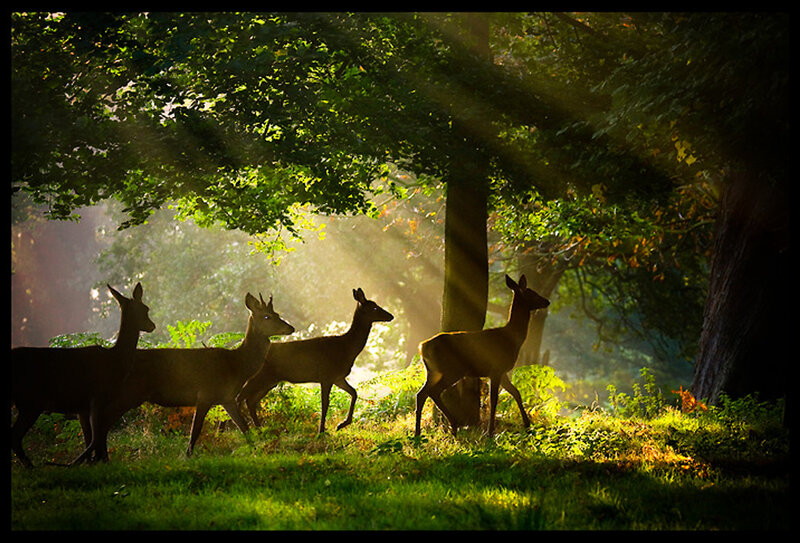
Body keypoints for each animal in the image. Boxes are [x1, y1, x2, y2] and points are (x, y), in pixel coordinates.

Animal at [11, 282, 156, 468]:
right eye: (145, 309)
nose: (152, 326)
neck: (115, 361)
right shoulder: (98, 398)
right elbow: (98, 436)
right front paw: (101, 461)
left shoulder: (83, 407)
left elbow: (90, 437)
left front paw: (91, 463)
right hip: (31, 400)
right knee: (14, 436)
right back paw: (32, 468)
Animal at [71, 292, 294, 464]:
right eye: (267, 316)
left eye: (277, 314)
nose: (290, 328)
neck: (236, 366)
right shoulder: (205, 394)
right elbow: (195, 431)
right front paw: (187, 456)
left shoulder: (227, 398)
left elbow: (244, 428)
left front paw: (257, 450)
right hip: (128, 393)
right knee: (102, 422)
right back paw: (95, 459)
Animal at [237, 288, 394, 434]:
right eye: (374, 307)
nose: (391, 316)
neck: (346, 348)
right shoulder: (326, 375)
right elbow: (325, 403)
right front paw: (322, 431)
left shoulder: (338, 377)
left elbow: (354, 393)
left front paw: (342, 424)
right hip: (257, 377)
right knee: (240, 397)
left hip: (269, 381)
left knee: (250, 401)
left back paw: (258, 429)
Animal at [414, 274, 550, 438]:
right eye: (531, 293)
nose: (547, 301)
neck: (512, 338)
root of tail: (423, 347)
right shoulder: (496, 368)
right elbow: (494, 399)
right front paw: (490, 432)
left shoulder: (502, 371)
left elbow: (515, 392)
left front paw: (527, 424)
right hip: (452, 369)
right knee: (433, 391)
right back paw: (454, 425)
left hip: (432, 371)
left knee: (421, 394)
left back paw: (418, 433)